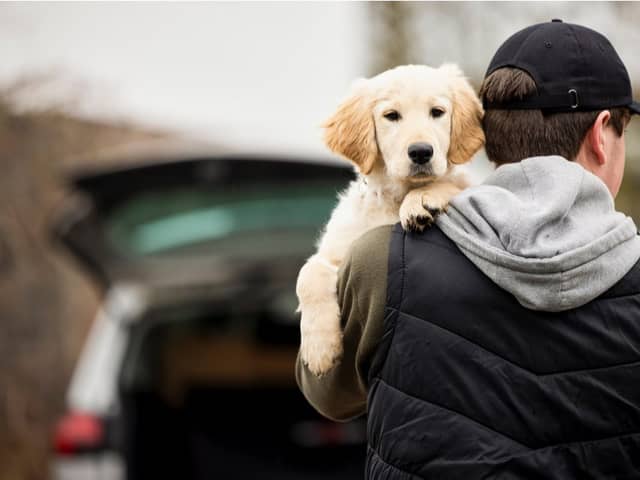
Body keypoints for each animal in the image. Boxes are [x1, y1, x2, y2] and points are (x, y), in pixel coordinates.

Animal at [298, 63, 482, 376]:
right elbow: (308, 274)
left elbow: (453, 184)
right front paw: (320, 348)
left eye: (437, 112)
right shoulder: (337, 251)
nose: (421, 152)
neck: (395, 197)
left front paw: (422, 199)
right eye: (392, 116)